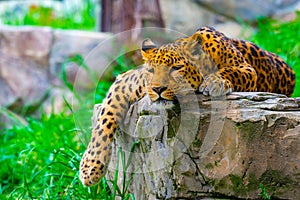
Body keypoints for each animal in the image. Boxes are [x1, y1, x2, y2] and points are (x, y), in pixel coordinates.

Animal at [78, 26, 296, 186]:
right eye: (151, 70)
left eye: (176, 68)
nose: (157, 88)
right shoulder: (128, 79)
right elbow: (105, 117)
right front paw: (90, 167)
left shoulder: (247, 70)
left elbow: (232, 71)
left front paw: (214, 81)